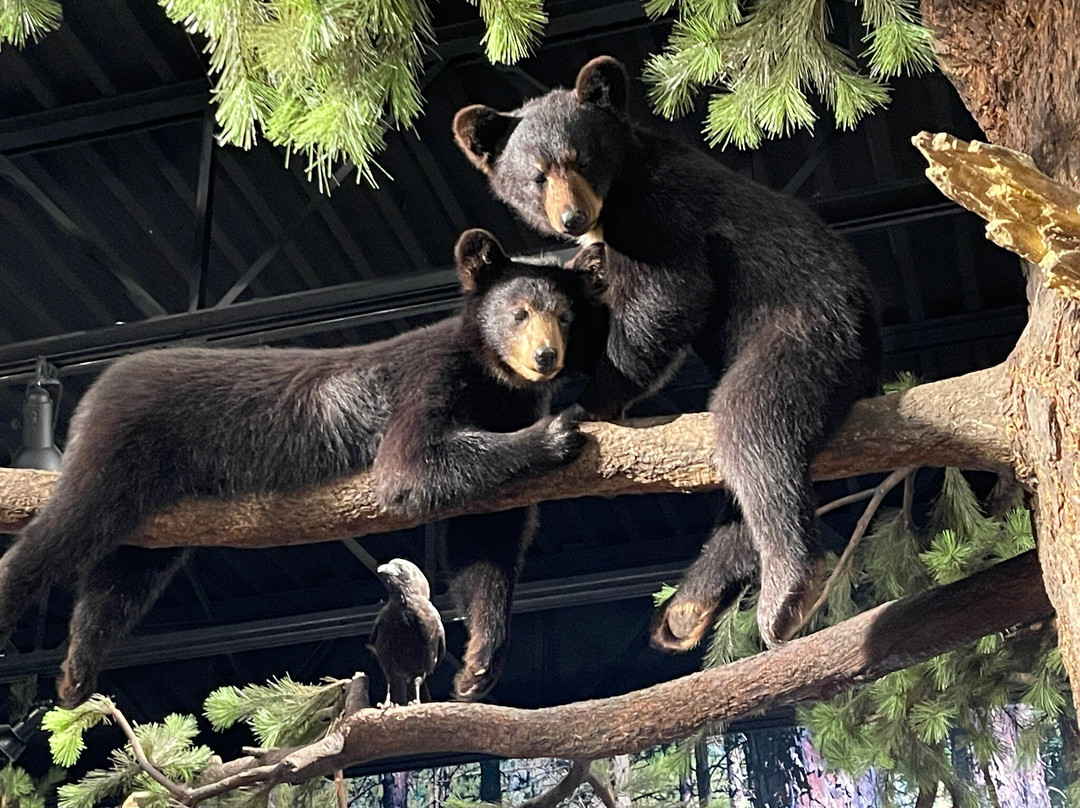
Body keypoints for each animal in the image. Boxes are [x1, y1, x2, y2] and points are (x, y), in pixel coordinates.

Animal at [0, 228, 605, 707]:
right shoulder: (430, 380)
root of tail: (100, 383)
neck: (493, 386)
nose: (545, 357)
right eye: (519, 312)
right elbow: (408, 469)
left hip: (160, 504)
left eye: (565, 315)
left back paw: (77, 670)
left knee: (125, 573)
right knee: (66, 529)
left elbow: (486, 540)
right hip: (116, 443)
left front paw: (479, 663)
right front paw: (558, 432)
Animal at [453, 56, 881, 651]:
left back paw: (785, 590)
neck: (614, 200)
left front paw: (591, 402)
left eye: (581, 158)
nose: (571, 218)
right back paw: (687, 608)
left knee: (755, 429)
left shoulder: (658, 208)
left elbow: (668, 291)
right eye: (537, 175)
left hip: (803, 331)